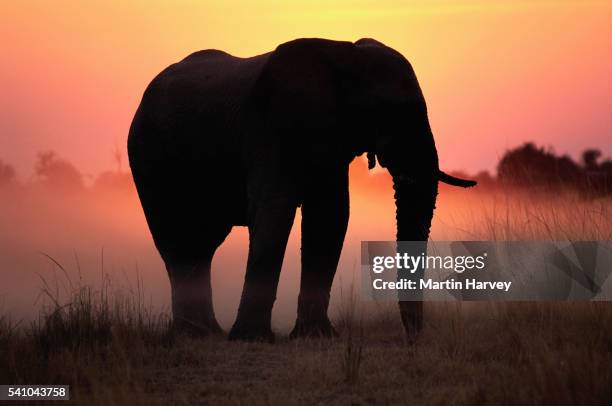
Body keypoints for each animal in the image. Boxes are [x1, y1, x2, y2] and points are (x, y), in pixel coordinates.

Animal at [126, 38, 476, 342]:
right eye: (391, 112)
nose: (412, 341)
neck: (347, 56)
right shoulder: (270, 128)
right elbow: (274, 212)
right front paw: (252, 339)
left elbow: (331, 216)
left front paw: (317, 336)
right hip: (148, 160)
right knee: (176, 243)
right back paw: (194, 334)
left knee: (202, 245)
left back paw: (206, 333)